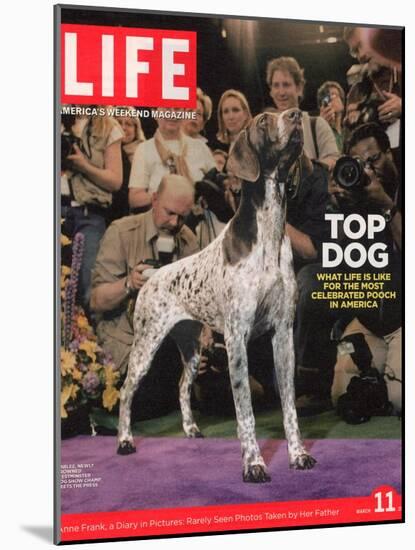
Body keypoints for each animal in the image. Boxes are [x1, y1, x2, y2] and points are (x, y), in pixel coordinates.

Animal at [115, 108, 316, 484]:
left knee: (182, 386)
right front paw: (254, 464)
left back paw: (191, 429)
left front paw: (298, 455)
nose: (296, 113)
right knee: (126, 392)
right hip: (146, 346)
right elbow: (245, 412)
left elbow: (290, 407)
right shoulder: (237, 339)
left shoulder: (282, 336)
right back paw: (124, 441)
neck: (268, 232)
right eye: (264, 120)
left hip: (192, 348)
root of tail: (151, 275)